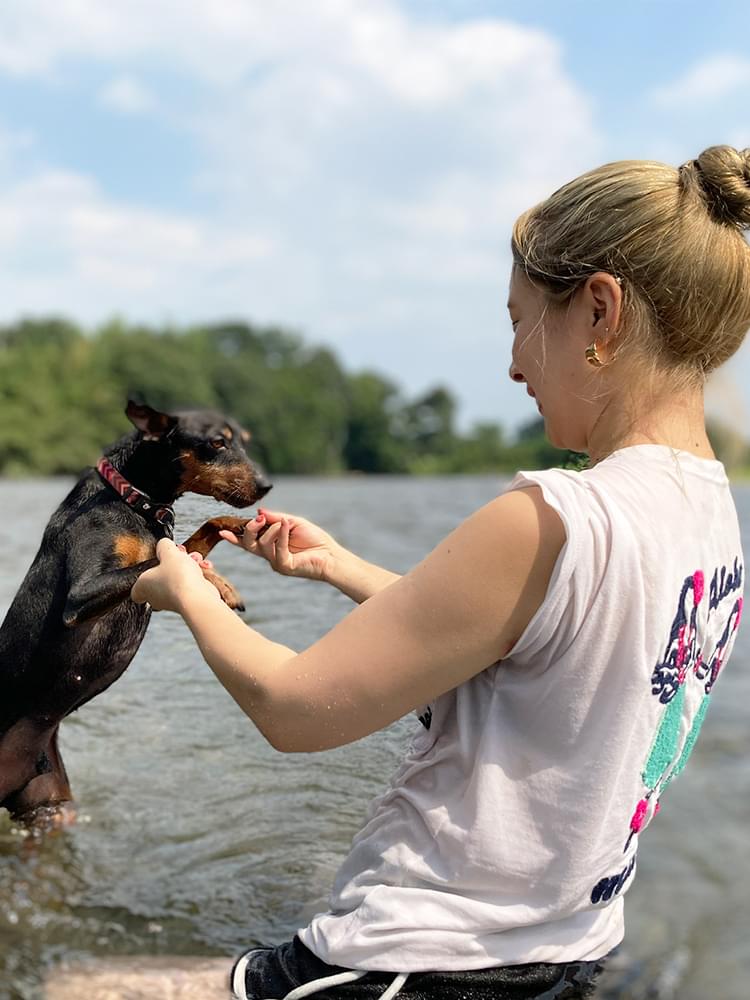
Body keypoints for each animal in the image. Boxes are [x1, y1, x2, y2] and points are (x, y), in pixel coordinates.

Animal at [0, 402, 270, 824]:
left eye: (244, 441)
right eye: (216, 442)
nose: (265, 486)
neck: (132, 500)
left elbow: (199, 534)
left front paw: (240, 533)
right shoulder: (81, 596)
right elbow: (162, 561)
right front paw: (219, 582)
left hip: (48, 804)